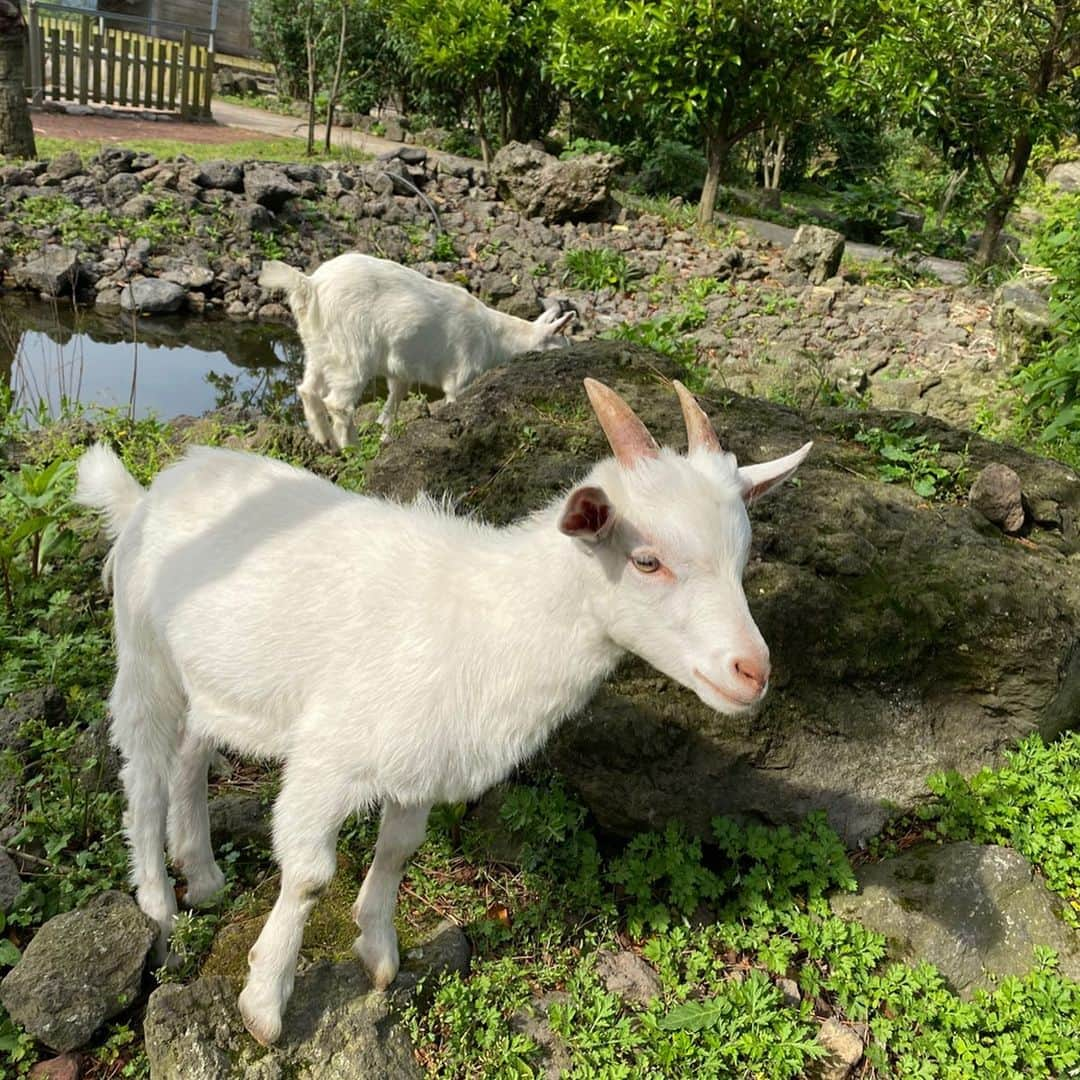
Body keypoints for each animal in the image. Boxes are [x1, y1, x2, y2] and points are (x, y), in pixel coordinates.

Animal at [73, 380, 812, 1045]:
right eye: (647, 560)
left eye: (744, 559)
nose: (752, 672)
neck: (486, 618)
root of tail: (154, 489)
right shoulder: (327, 758)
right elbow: (310, 877)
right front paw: (264, 1004)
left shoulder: (420, 762)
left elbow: (399, 848)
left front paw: (378, 953)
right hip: (144, 657)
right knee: (143, 774)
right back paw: (160, 910)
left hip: (213, 679)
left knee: (192, 755)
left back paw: (201, 875)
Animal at [258, 252, 574, 447]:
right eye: (563, 343)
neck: (495, 337)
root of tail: (310, 285)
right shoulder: (460, 377)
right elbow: (452, 401)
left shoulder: (401, 370)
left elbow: (394, 401)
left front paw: (385, 436)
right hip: (352, 350)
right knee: (338, 403)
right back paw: (351, 446)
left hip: (320, 347)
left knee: (307, 390)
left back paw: (325, 441)